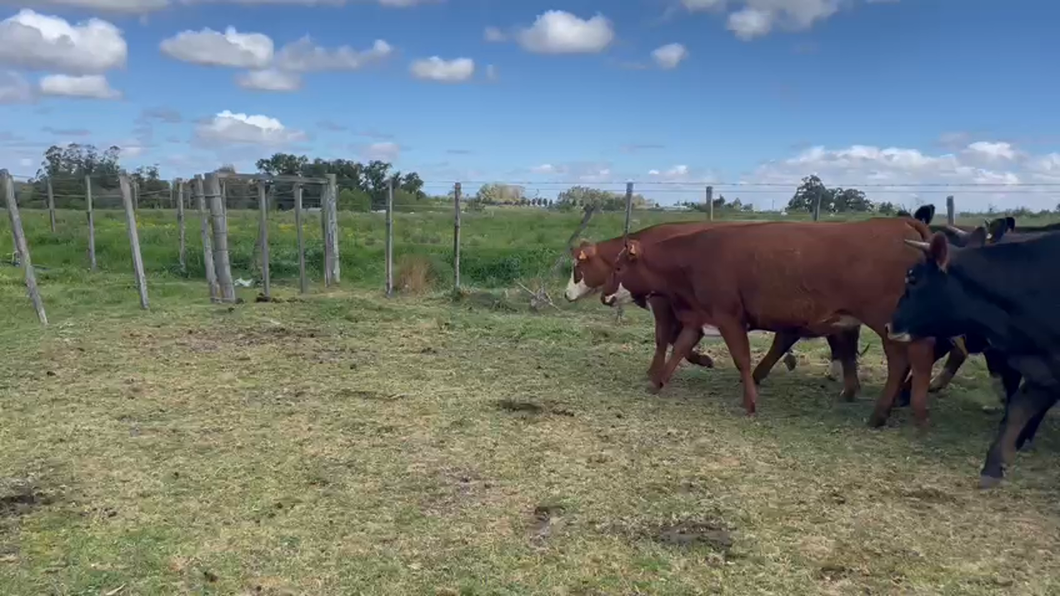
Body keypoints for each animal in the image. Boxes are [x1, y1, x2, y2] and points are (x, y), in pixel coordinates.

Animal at [568, 220, 864, 396]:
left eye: (577, 267)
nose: (566, 293)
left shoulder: (664, 306)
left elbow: (664, 338)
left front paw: (662, 370)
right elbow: (677, 339)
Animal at [602, 215, 941, 424]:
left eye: (618, 268)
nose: (605, 296)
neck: (692, 258)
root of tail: (900, 222)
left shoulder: (729, 318)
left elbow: (741, 358)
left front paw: (750, 401)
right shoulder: (699, 318)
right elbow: (680, 349)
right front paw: (658, 382)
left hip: (888, 322)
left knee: (906, 360)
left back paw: (887, 413)